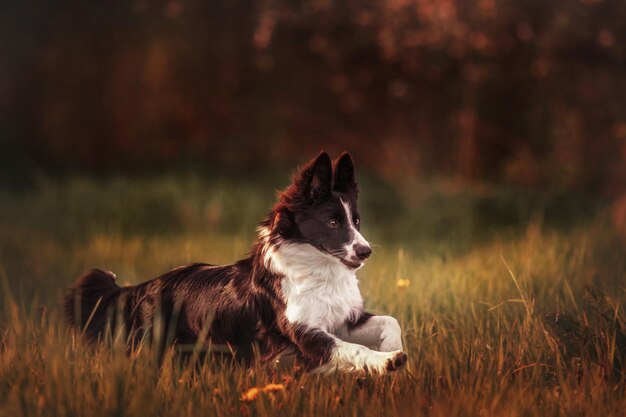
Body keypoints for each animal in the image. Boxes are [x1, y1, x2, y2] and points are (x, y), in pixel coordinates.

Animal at [63, 153, 404, 374]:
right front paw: (388, 360)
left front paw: (392, 348)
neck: (318, 269)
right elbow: (354, 349)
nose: (366, 251)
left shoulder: (343, 319)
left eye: (356, 221)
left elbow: (390, 321)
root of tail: (140, 288)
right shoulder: (307, 335)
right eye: (332, 222)